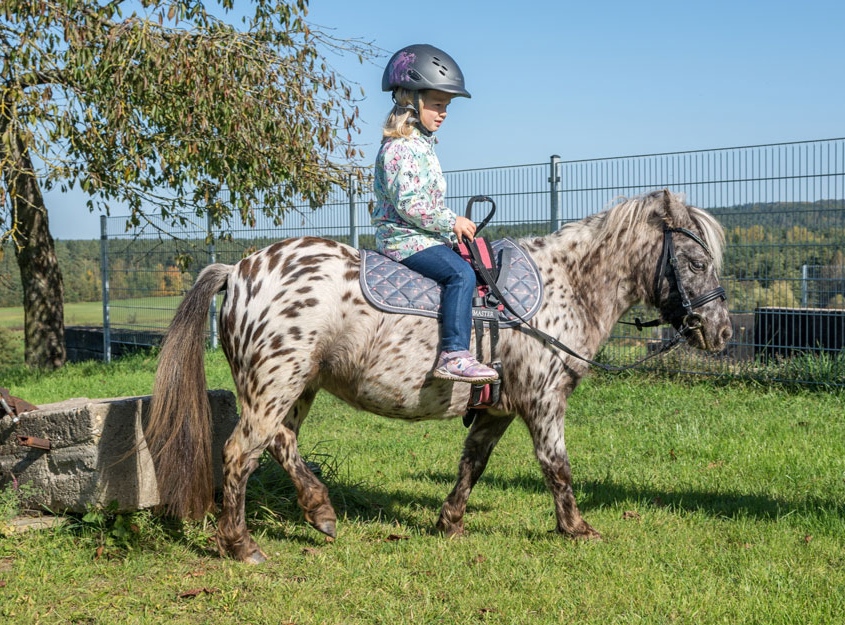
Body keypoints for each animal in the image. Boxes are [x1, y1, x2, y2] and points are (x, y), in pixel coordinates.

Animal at [145, 189, 732, 560]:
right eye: (696, 263)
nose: (722, 331)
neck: (564, 285)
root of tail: (237, 271)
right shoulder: (543, 401)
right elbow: (556, 467)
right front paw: (577, 529)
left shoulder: (498, 408)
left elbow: (472, 463)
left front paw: (449, 522)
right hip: (273, 385)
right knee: (240, 453)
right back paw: (242, 546)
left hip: (296, 387)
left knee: (281, 442)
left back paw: (320, 511)